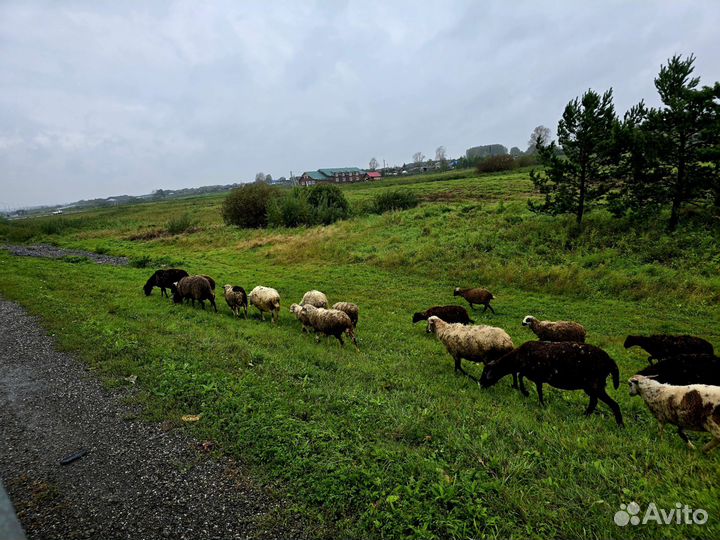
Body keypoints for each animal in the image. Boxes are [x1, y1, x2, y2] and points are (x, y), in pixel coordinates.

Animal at [480, 341, 624, 426]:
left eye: (485, 373)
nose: (480, 384)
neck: (517, 358)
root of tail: (610, 361)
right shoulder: (537, 377)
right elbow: (537, 389)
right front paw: (541, 403)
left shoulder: (533, 372)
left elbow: (521, 376)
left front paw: (526, 393)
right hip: (592, 386)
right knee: (594, 401)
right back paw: (584, 416)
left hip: (595, 384)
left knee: (613, 404)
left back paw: (620, 425)